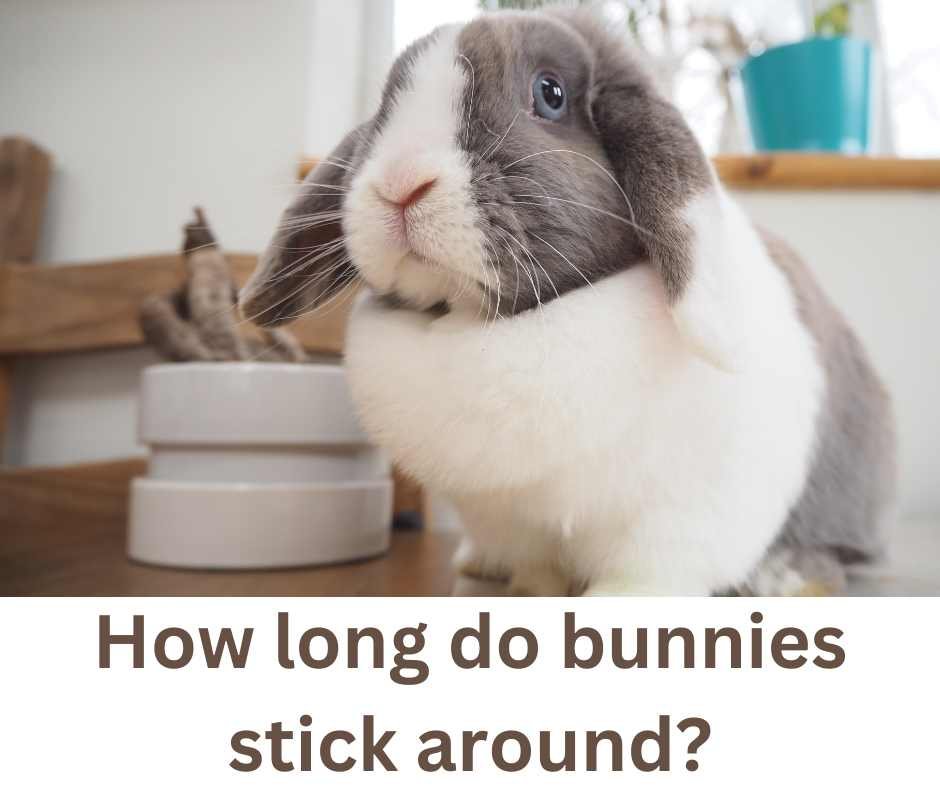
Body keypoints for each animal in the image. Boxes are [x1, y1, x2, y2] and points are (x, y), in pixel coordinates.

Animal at [240, 8, 896, 596]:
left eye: (550, 93)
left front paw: (614, 603)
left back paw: (790, 578)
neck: (483, 325)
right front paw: (531, 590)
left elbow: (647, 572)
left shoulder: (680, 514)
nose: (399, 183)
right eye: (385, 107)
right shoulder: (507, 516)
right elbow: (537, 568)